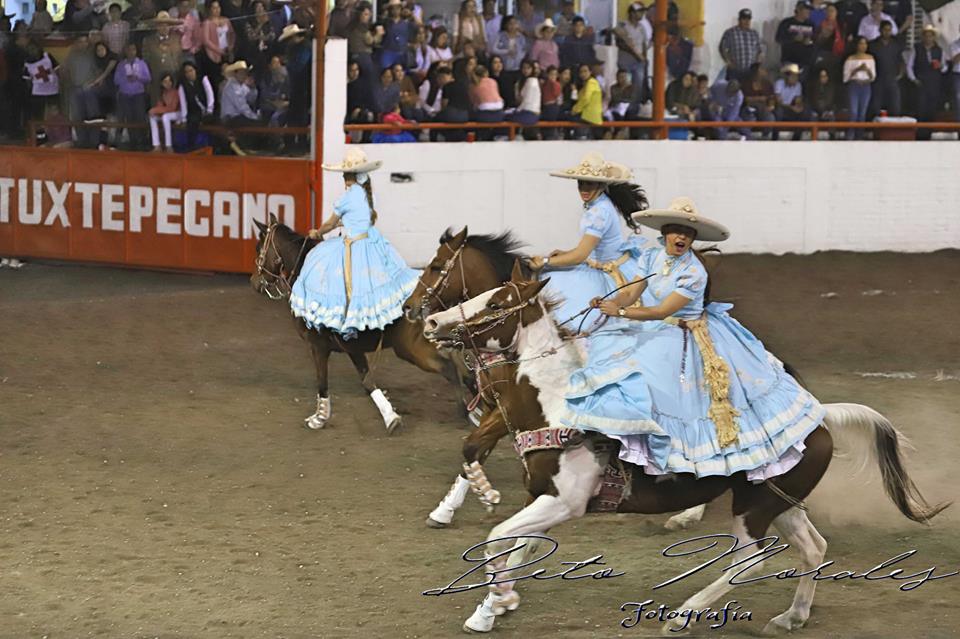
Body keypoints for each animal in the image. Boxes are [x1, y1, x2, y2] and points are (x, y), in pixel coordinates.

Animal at [251, 216, 462, 436]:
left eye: (258, 248)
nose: (254, 281)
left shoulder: (319, 346)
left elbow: (325, 381)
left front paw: (319, 418)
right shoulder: (351, 347)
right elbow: (367, 381)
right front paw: (390, 417)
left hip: (411, 349)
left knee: (449, 368)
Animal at [402, 228, 708, 532]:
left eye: (436, 266)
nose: (411, 308)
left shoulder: (507, 410)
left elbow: (474, 446)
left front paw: (484, 496)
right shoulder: (496, 405)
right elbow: (474, 449)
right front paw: (446, 509)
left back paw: (689, 511)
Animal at [424, 264, 948, 636]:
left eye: (496, 300)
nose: (431, 320)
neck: (555, 405)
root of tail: (820, 417)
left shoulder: (564, 502)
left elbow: (498, 539)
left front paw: (500, 601)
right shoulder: (544, 500)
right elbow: (519, 546)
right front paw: (490, 609)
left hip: (753, 508)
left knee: (750, 560)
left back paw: (684, 614)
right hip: (778, 502)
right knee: (813, 548)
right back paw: (791, 617)